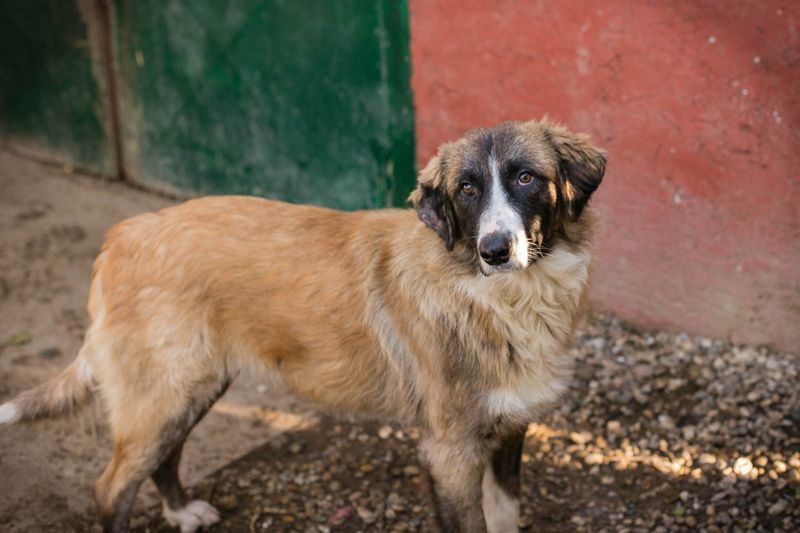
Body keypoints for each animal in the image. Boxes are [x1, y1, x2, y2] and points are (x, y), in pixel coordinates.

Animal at [0, 119, 605, 532]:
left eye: (526, 178)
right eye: (467, 189)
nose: (496, 250)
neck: (504, 300)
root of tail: (121, 237)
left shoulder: (510, 428)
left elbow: (505, 514)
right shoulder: (450, 451)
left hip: (189, 389)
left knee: (161, 459)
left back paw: (181, 510)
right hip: (164, 393)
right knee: (110, 488)